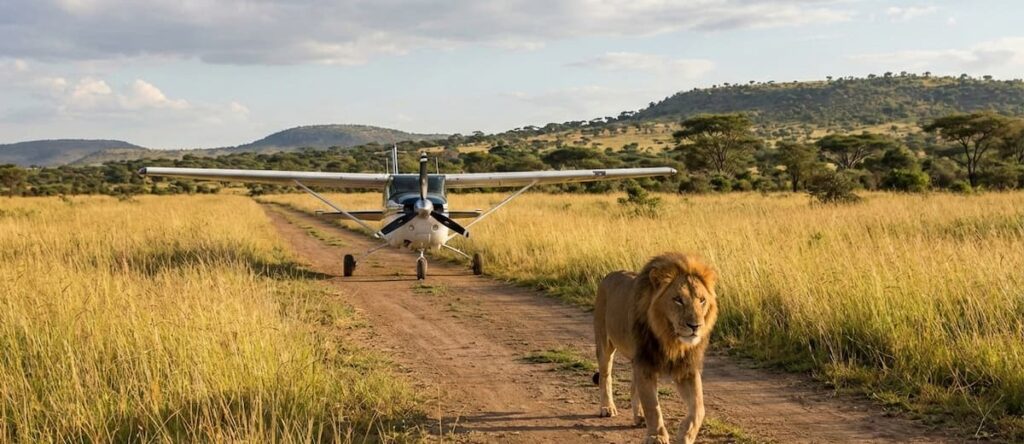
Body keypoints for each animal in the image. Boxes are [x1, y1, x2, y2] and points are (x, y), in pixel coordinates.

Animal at [593, 252, 718, 444]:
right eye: (678, 300)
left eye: (702, 300)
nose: (695, 326)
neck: (670, 339)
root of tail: (609, 275)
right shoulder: (645, 364)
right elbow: (652, 405)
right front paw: (656, 436)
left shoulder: (686, 369)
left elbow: (699, 408)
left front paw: (685, 435)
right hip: (604, 343)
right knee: (605, 376)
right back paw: (607, 407)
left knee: (634, 386)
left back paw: (639, 417)